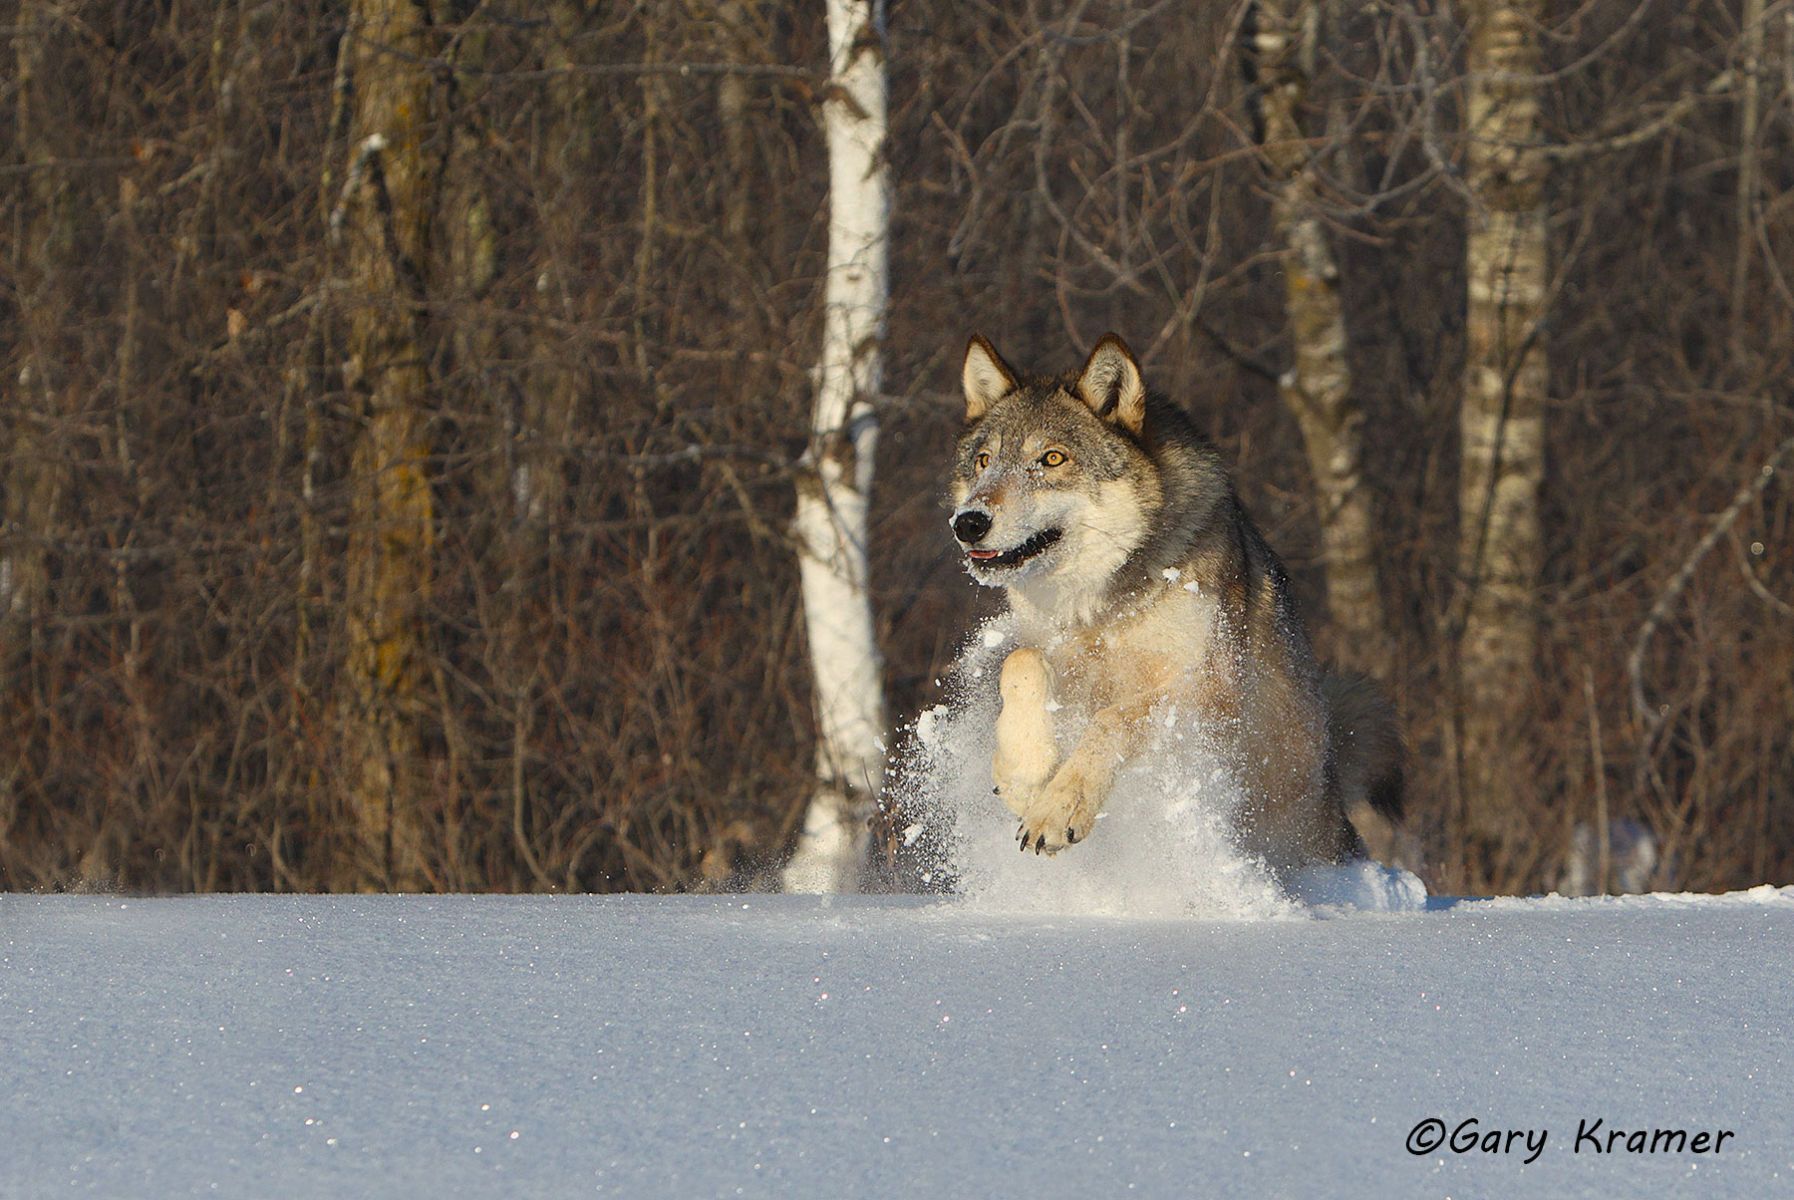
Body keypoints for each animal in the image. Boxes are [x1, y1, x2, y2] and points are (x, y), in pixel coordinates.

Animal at [948, 332, 1403, 876]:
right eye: (983, 461)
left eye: (1052, 459)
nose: (968, 522)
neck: (1102, 609)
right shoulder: (1054, 656)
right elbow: (1020, 663)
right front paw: (1025, 778)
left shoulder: (1209, 691)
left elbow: (1113, 719)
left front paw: (1058, 809)